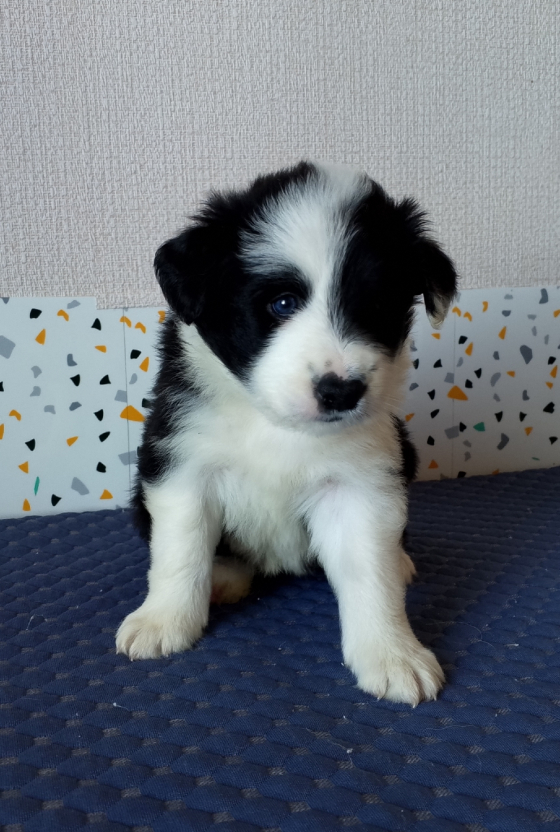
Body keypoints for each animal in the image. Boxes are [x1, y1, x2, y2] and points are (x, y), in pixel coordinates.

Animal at [116, 161, 457, 705]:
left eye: (377, 305)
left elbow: (370, 570)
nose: (341, 391)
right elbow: (180, 549)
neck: (275, 422)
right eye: (281, 303)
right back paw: (223, 578)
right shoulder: (182, 463)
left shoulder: (363, 483)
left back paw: (401, 562)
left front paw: (392, 654)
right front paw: (163, 621)